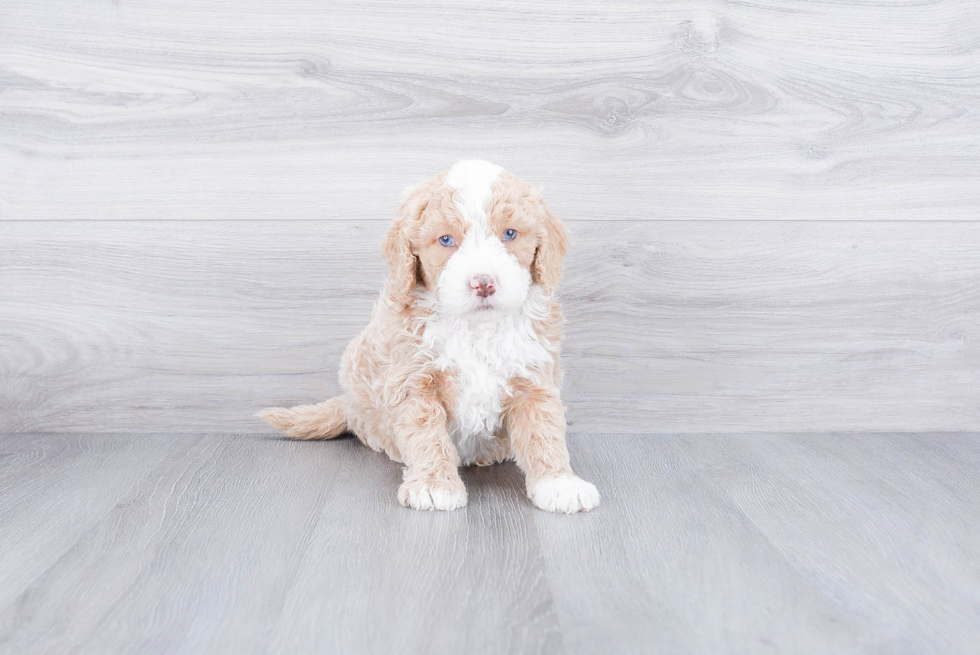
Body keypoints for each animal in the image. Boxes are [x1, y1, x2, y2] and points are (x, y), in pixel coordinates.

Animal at [260, 159, 596, 512]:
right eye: (446, 240)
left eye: (509, 234)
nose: (484, 282)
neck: (475, 328)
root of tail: (348, 403)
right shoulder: (413, 381)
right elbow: (426, 435)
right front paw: (435, 485)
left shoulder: (533, 376)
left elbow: (544, 431)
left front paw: (559, 483)